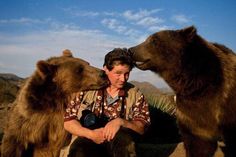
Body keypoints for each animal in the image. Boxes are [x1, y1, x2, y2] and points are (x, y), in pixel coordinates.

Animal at [129, 26, 236, 156]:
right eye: (147, 39)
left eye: (154, 40)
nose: (131, 50)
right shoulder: (191, 113)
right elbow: (198, 144)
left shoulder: (226, 102)